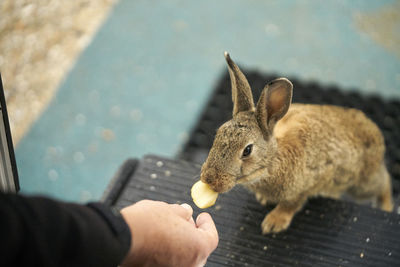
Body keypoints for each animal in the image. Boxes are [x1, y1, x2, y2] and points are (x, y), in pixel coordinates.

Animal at [200, 51, 394, 234]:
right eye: (219, 134)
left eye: (247, 150)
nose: (209, 179)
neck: (272, 161)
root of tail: (373, 130)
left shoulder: (310, 182)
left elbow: (292, 204)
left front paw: (274, 222)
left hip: (362, 183)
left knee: (384, 183)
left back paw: (387, 206)